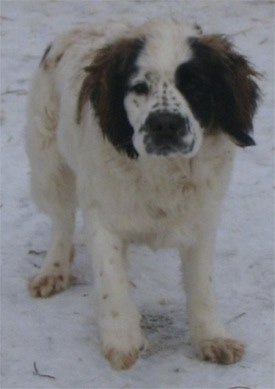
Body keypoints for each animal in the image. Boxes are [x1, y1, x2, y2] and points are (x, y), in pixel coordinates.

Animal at [25, 19, 260, 370]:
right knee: (62, 221)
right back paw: (54, 269)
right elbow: (111, 279)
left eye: (194, 85)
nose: (165, 124)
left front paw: (211, 338)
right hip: (49, 165)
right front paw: (122, 337)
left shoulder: (201, 219)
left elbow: (202, 286)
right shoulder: (103, 216)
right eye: (139, 88)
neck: (163, 172)